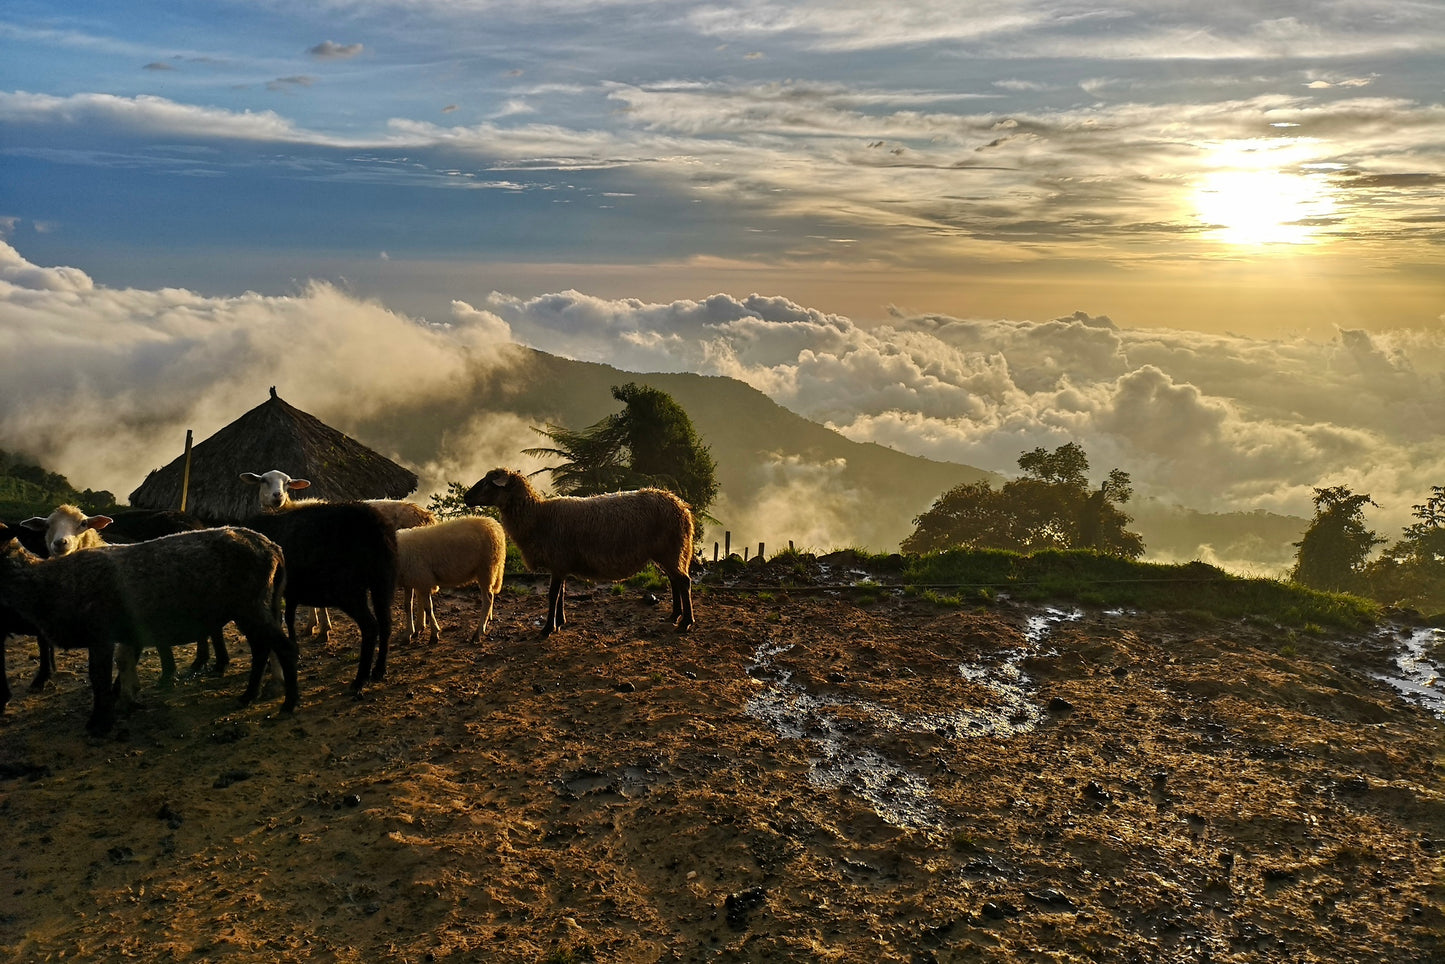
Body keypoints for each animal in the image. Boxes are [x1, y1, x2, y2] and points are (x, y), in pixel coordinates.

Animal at [0, 523, 297, 734]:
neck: (46, 582)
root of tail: (273, 547)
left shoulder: (101, 633)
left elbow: (98, 678)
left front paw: (100, 723)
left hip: (251, 603)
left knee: (283, 647)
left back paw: (289, 704)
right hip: (251, 606)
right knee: (261, 648)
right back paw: (248, 696)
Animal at [236, 494, 398, 696]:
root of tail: (376, 526)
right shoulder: (290, 592)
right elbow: (289, 617)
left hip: (349, 590)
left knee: (370, 627)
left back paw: (360, 679)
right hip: (382, 582)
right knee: (385, 624)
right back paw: (379, 670)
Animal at [459, 468, 690, 635]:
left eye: (489, 482)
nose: (466, 497)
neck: (539, 516)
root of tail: (681, 506)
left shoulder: (558, 561)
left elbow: (553, 595)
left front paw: (547, 629)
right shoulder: (561, 565)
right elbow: (561, 593)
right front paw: (560, 622)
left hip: (670, 549)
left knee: (684, 581)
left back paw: (685, 622)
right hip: (668, 552)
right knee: (674, 581)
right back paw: (674, 615)